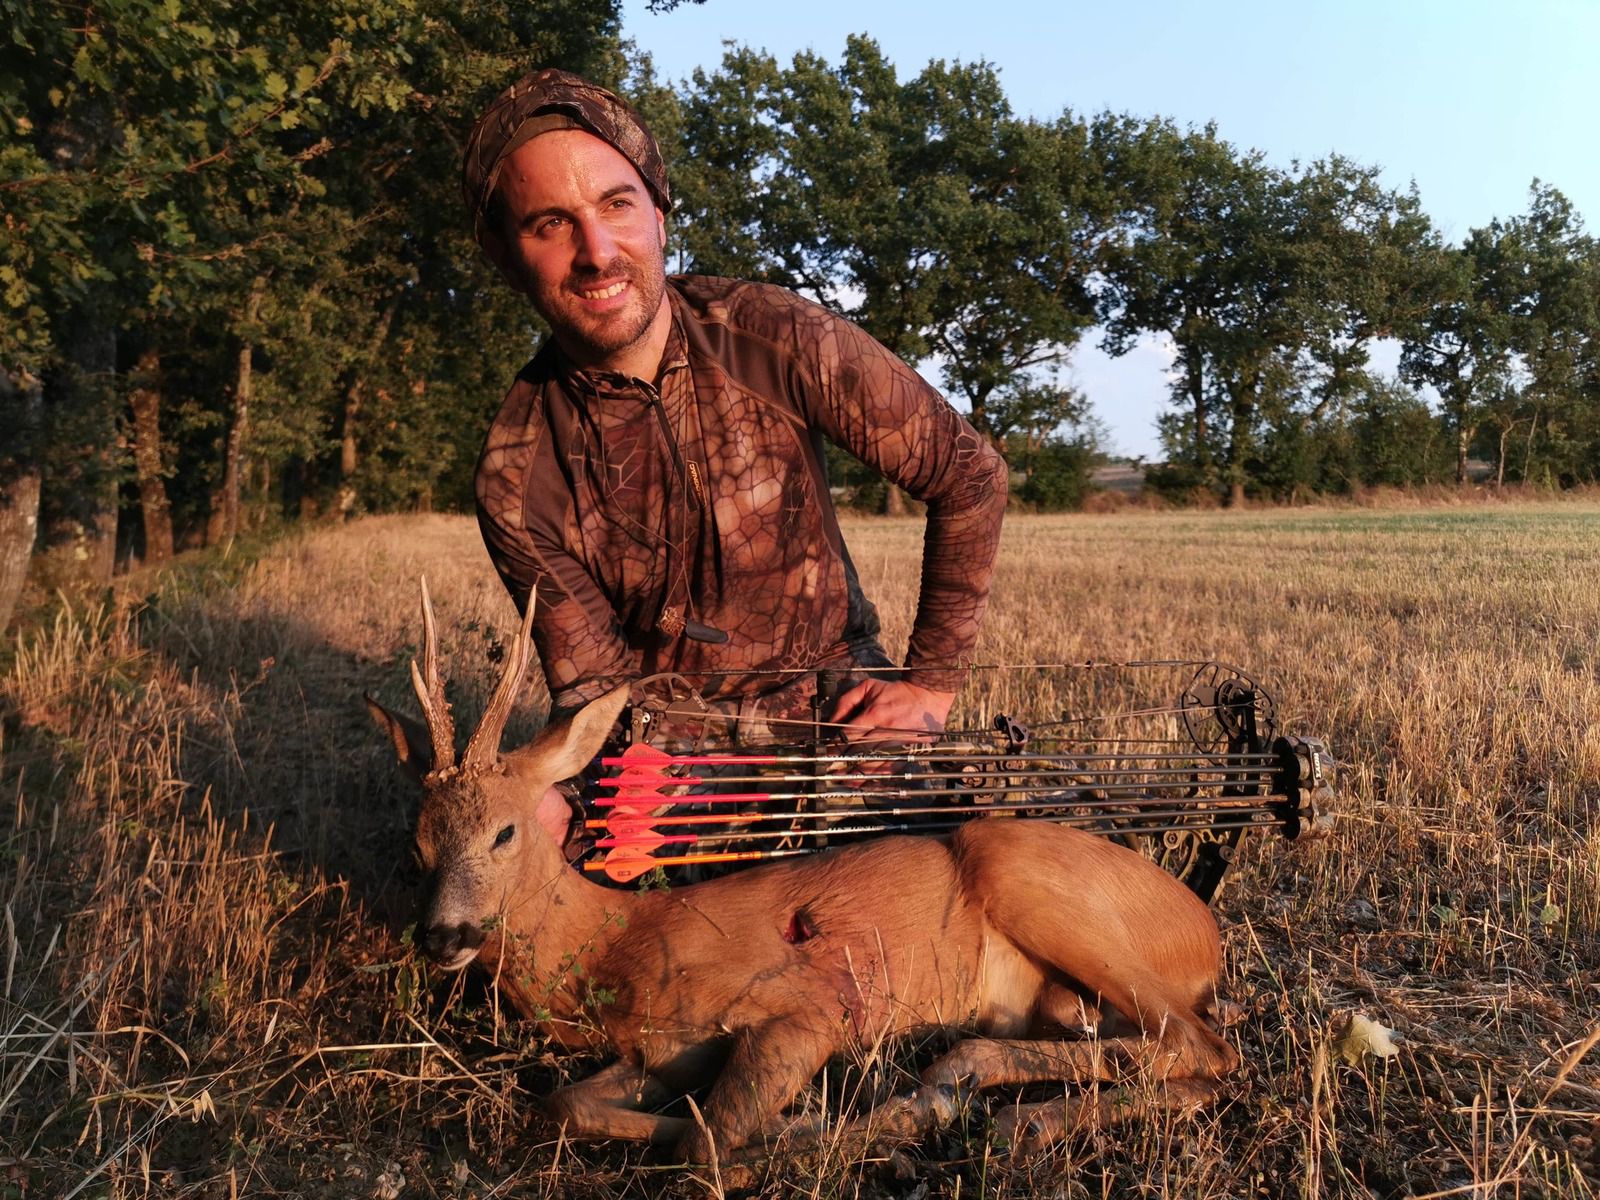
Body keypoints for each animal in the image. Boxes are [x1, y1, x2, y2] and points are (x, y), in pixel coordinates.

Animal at [368, 585, 1241, 1164]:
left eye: (505, 830)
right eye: (418, 845)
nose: (443, 934)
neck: (612, 944)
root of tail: (1205, 933)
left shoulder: (807, 1008)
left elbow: (711, 1145)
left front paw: (841, 1125)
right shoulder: (660, 1053)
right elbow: (564, 1104)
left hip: (1025, 875)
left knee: (1200, 1042)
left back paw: (963, 1094)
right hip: (1060, 999)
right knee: (1183, 1064)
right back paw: (1003, 1103)